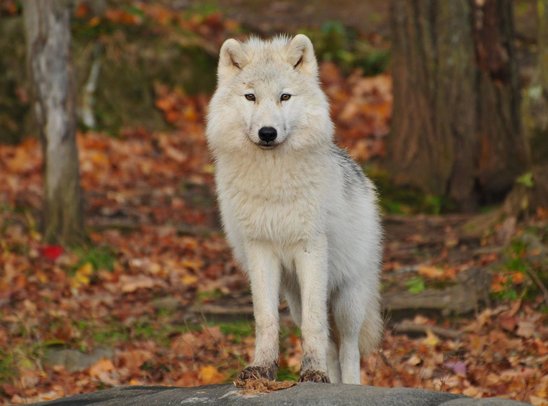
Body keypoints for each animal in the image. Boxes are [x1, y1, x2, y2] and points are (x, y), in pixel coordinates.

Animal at [206, 34, 382, 384]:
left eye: (284, 96)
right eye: (250, 97)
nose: (267, 133)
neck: (273, 182)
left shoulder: (310, 248)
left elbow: (316, 326)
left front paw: (312, 371)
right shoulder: (260, 249)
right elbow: (266, 319)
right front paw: (261, 368)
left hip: (347, 298)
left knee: (349, 348)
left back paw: (348, 384)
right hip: (294, 297)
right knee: (330, 345)